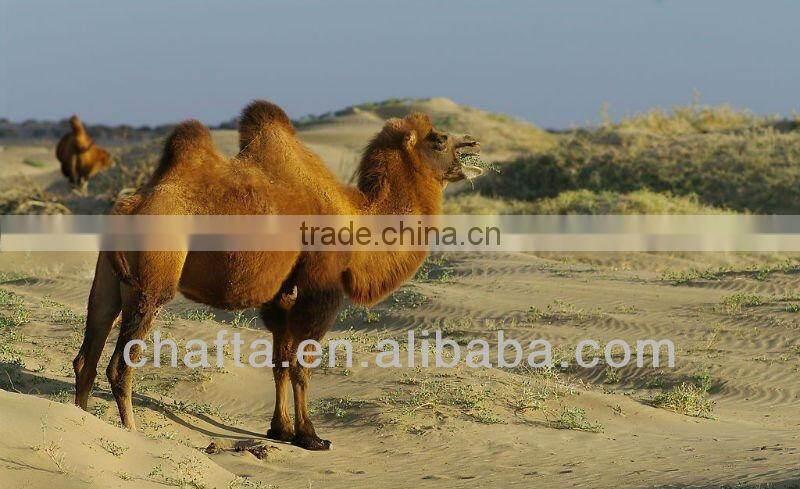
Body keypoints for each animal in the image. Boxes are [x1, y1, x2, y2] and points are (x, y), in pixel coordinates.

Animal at [72, 100, 483, 450]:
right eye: (438, 138)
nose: (473, 143)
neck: (355, 216)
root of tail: (130, 204)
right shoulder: (320, 288)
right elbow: (301, 364)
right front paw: (311, 435)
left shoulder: (282, 293)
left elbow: (279, 362)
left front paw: (280, 429)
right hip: (152, 281)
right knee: (119, 365)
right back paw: (132, 433)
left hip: (109, 280)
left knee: (88, 354)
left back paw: (81, 420)